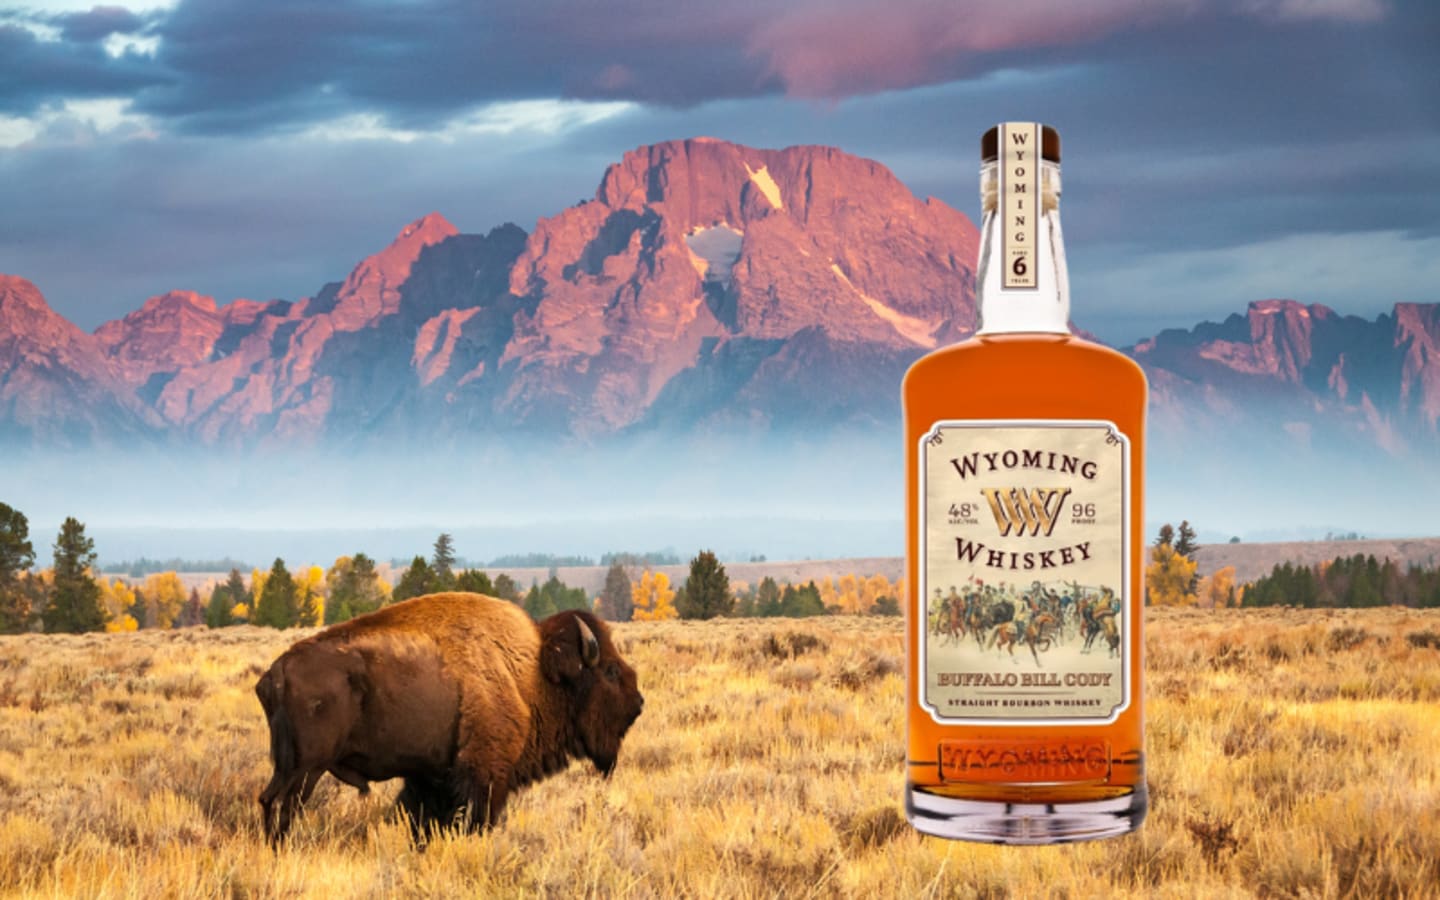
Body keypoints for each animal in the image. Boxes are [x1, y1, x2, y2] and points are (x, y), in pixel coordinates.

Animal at [254, 592, 644, 842]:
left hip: (289, 766)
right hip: (306, 768)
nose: (638, 703)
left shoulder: (431, 777)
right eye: (610, 671)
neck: (533, 673)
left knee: (268, 800)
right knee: (283, 806)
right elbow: (476, 819)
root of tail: (276, 672)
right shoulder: (485, 775)